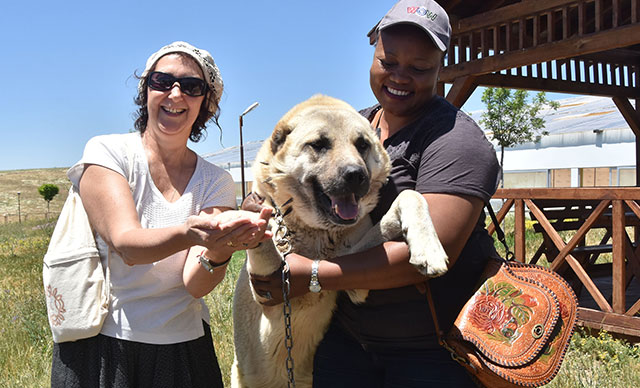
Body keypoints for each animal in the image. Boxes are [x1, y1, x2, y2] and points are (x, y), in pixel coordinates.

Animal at [229, 94, 444, 388]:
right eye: (319, 144)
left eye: (362, 144)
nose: (356, 175)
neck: (316, 232)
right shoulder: (267, 293)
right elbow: (263, 239)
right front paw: (254, 219)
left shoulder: (354, 280)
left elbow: (409, 196)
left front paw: (429, 248)